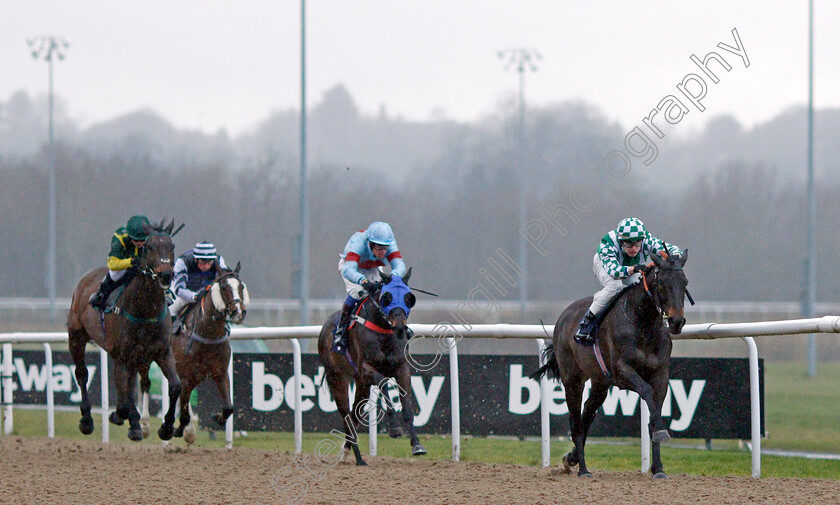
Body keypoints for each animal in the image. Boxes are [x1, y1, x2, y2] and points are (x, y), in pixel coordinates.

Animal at [67, 219, 182, 440]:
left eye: (172, 246)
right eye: (150, 247)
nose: (165, 274)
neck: (145, 309)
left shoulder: (162, 351)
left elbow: (175, 387)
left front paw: (166, 427)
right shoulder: (122, 355)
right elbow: (124, 401)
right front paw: (125, 418)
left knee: (129, 384)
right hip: (76, 336)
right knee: (82, 373)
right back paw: (87, 420)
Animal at [138, 262, 248, 442]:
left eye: (241, 286)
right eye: (224, 287)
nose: (238, 312)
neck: (207, 335)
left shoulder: (220, 372)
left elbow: (228, 407)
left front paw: (216, 418)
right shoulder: (186, 376)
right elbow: (182, 412)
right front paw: (169, 429)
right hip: (145, 356)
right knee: (146, 383)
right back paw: (145, 424)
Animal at [320, 268, 430, 464]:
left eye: (408, 297)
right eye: (387, 297)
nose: (400, 327)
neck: (383, 331)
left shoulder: (401, 368)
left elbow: (407, 405)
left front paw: (417, 445)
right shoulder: (366, 370)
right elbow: (384, 383)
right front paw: (394, 428)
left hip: (361, 385)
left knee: (354, 415)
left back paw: (348, 451)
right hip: (337, 378)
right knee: (346, 415)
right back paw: (358, 458)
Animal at [532, 250, 688, 478]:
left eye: (684, 282)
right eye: (661, 283)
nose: (677, 322)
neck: (643, 324)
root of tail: (564, 316)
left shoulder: (661, 374)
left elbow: (654, 411)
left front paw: (658, 468)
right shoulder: (622, 371)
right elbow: (646, 391)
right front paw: (660, 433)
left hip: (600, 383)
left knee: (587, 415)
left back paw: (572, 458)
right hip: (573, 379)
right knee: (576, 421)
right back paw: (583, 469)